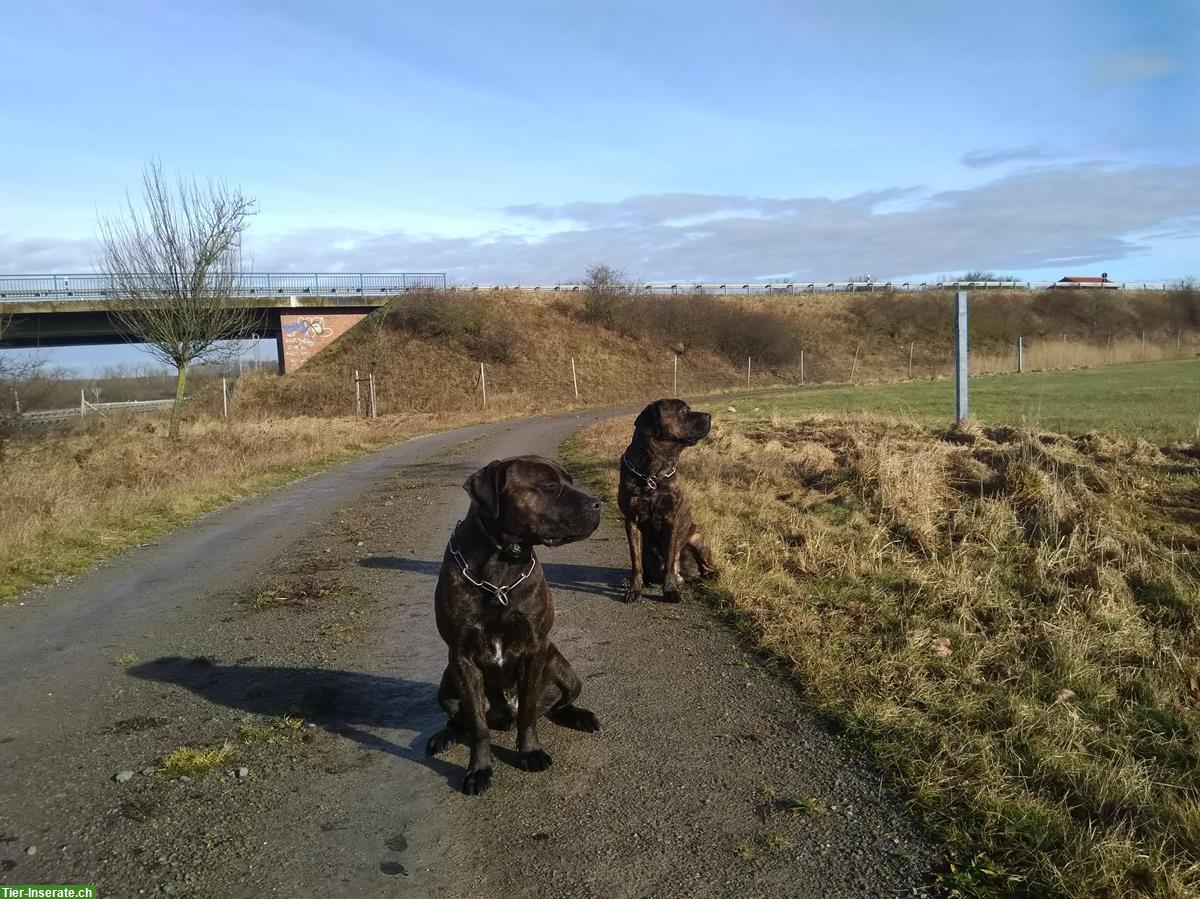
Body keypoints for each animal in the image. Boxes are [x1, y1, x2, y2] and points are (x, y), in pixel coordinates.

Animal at [427, 456, 604, 792]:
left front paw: (530, 752)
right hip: (446, 684)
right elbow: (477, 725)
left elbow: (529, 711)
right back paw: (442, 736)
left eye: (570, 481)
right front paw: (479, 770)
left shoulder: (535, 648)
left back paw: (580, 717)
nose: (598, 503)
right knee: (457, 719)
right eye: (549, 485)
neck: (500, 569)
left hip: (564, 669)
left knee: (557, 705)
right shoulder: (461, 656)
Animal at [619, 398, 710, 602]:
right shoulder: (631, 520)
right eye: (683, 411)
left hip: (697, 538)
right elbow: (635, 561)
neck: (652, 473)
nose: (709, 415)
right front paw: (635, 589)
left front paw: (670, 590)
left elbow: (669, 557)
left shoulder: (670, 520)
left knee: (705, 568)